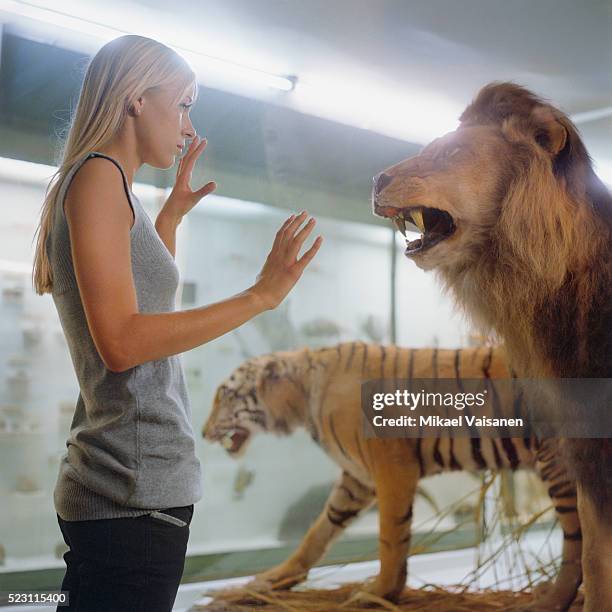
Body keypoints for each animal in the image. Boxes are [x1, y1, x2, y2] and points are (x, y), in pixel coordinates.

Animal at [203, 342, 580, 608]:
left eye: (225, 394)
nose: (204, 433)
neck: (305, 398)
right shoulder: (357, 480)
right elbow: (318, 532)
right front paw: (269, 580)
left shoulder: (392, 467)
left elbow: (391, 536)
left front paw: (379, 593)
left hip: (558, 466)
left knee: (577, 542)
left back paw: (551, 599)